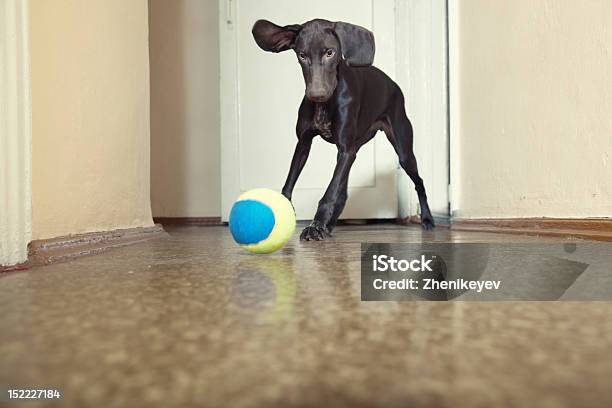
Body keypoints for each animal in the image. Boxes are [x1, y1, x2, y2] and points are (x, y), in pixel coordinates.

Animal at [251, 19, 432, 241]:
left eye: (330, 53)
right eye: (302, 55)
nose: (316, 94)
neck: (325, 105)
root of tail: (393, 84)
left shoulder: (346, 150)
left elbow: (330, 192)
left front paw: (315, 225)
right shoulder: (304, 144)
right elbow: (291, 182)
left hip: (403, 150)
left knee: (418, 181)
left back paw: (427, 219)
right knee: (343, 191)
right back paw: (330, 224)